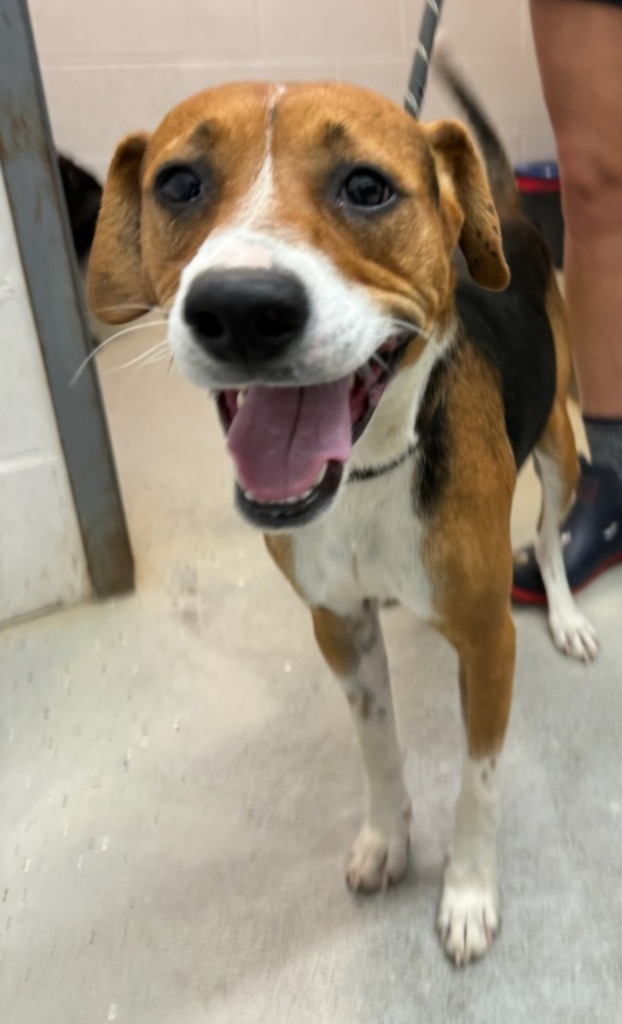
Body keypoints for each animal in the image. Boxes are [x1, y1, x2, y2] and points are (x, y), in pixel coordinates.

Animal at [87, 59, 598, 962]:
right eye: (178, 183)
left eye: (366, 187)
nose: (242, 309)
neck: (364, 477)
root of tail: (509, 216)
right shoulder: (338, 626)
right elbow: (379, 746)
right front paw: (388, 840)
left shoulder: (489, 642)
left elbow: (479, 782)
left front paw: (468, 894)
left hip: (559, 451)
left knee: (547, 534)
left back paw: (568, 616)